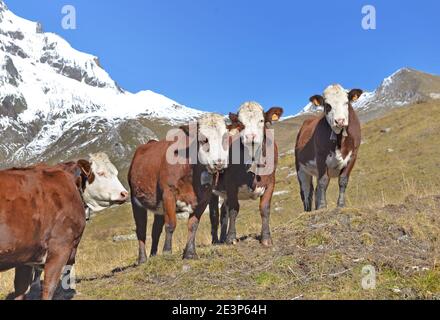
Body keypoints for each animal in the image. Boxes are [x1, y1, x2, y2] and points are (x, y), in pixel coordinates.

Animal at [127, 114, 232, 264]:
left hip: (159, 207)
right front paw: (167, 252)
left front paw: (190, 253)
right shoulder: (168, 193)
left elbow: (193, 225)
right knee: (141, 229)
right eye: (203, 139)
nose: (219, 162)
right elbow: (171, 224)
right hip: (136, 200)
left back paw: (153, 255)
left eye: (225, 138)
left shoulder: (204, 198)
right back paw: (142, 259)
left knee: (155, 230)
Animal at [209, 101, 284, 246]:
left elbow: (264, 208)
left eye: (261, 120)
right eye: (241, 123)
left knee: (223, 213)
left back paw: (222, 238)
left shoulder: (271, 183)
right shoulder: (231, 184)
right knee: (214, 214)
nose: (250, 137)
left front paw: (266, 238)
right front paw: (231, 238)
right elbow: (234, 209)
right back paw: (216, 241)